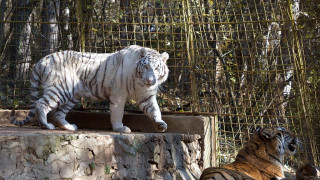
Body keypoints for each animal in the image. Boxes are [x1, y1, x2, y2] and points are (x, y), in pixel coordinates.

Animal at [10, 44, 170, 132]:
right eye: (146, 67)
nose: (150, 80)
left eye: (156, 68)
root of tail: (42, 60)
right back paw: (46, 125)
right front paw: (120, 128)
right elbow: (117, 113)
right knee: (41, 103)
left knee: (58, 114)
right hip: (60, 89)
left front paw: (160, 124)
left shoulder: (147, 96)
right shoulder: (118, 94)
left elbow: (155, 110)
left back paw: (69, 127)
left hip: (71, 95)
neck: (139, 82)